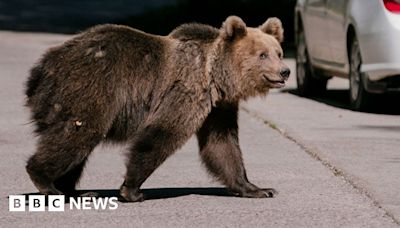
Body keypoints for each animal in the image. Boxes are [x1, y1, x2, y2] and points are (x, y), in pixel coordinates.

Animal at [25, 15, 290, 201]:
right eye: (263, 55)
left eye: (278, 52)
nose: (285, 71)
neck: (215, 77)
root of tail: (42, 67)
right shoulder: (187, 91)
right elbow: (163, 133)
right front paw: (131, 190)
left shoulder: (218, 108)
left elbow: (222, 144)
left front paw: (258, 188)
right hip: (90, 86)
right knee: (77, 135)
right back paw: (47, 183)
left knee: (78, 144)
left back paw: (75, 191)